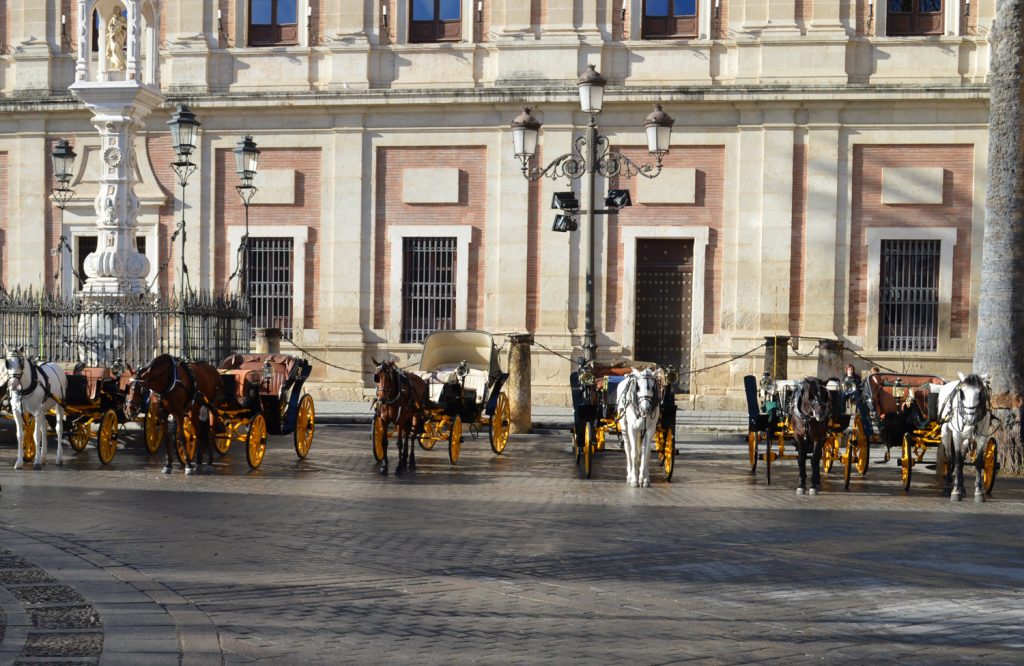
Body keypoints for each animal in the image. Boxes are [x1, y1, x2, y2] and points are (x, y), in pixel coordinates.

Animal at [942, 370, 991, 500]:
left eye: (980, 392)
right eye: (962, 393)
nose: (970, 418)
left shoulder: (982, 438)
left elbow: (978, 462)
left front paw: (978, 491)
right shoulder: (957, 436)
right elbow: (957, 461)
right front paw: (955, 491)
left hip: (966, 440)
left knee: (962, 458)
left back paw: (962, 487)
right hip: (946, 434)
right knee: (949, 457)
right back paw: (948, 486)